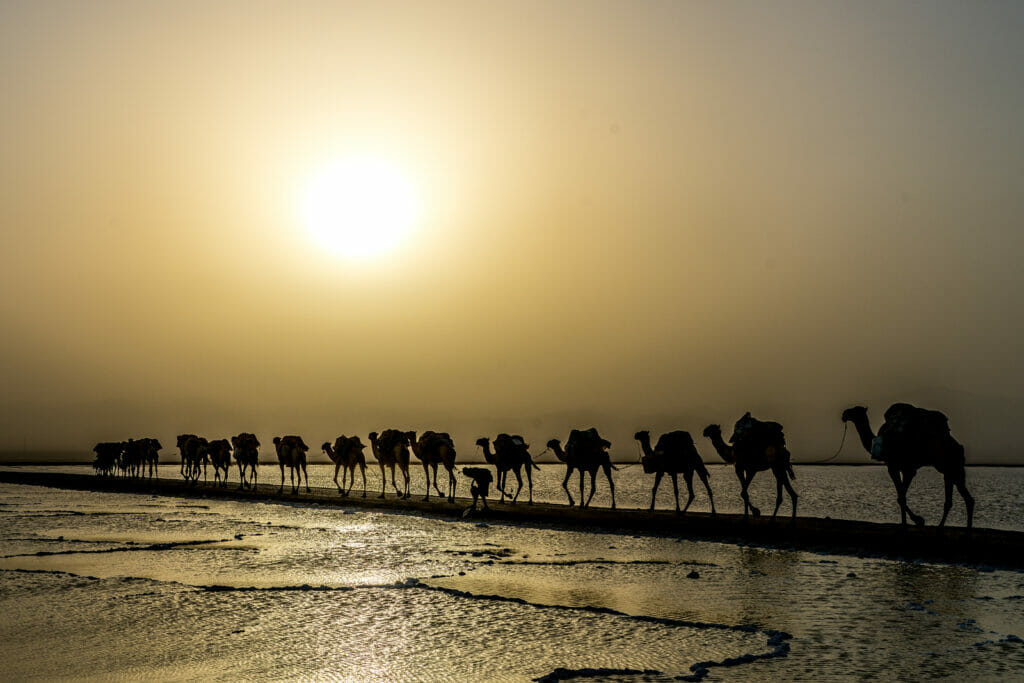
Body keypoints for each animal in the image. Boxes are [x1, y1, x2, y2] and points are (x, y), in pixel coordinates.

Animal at [839, 403, 974, 532]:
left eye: (855, 410)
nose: (844, 414)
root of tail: (959, 447)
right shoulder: (897, 467)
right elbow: (901, 496)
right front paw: (910, 522)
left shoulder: (904, 468)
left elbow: (901, 497)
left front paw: (918, 521)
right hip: (949, 469)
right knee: (961, 498)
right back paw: (957, 528)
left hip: (952, 466)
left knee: (961, 498)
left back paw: (951, 527)